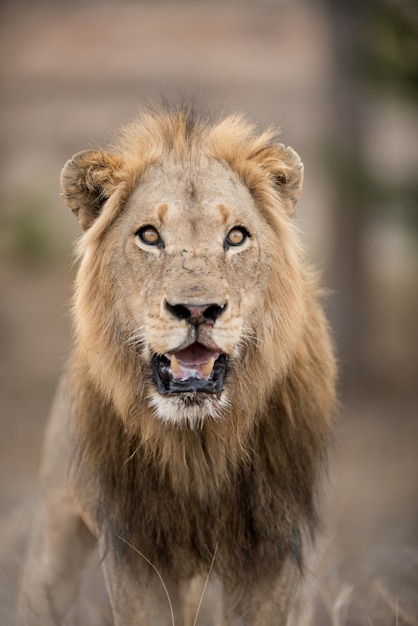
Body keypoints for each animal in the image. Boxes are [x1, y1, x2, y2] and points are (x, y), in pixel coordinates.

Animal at [18, 105, 336, 620]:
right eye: (150, 236)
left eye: (236, 236)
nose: (197, 309)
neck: (198, 443)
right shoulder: (135, 550)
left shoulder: (271, 553)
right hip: (55, 534)